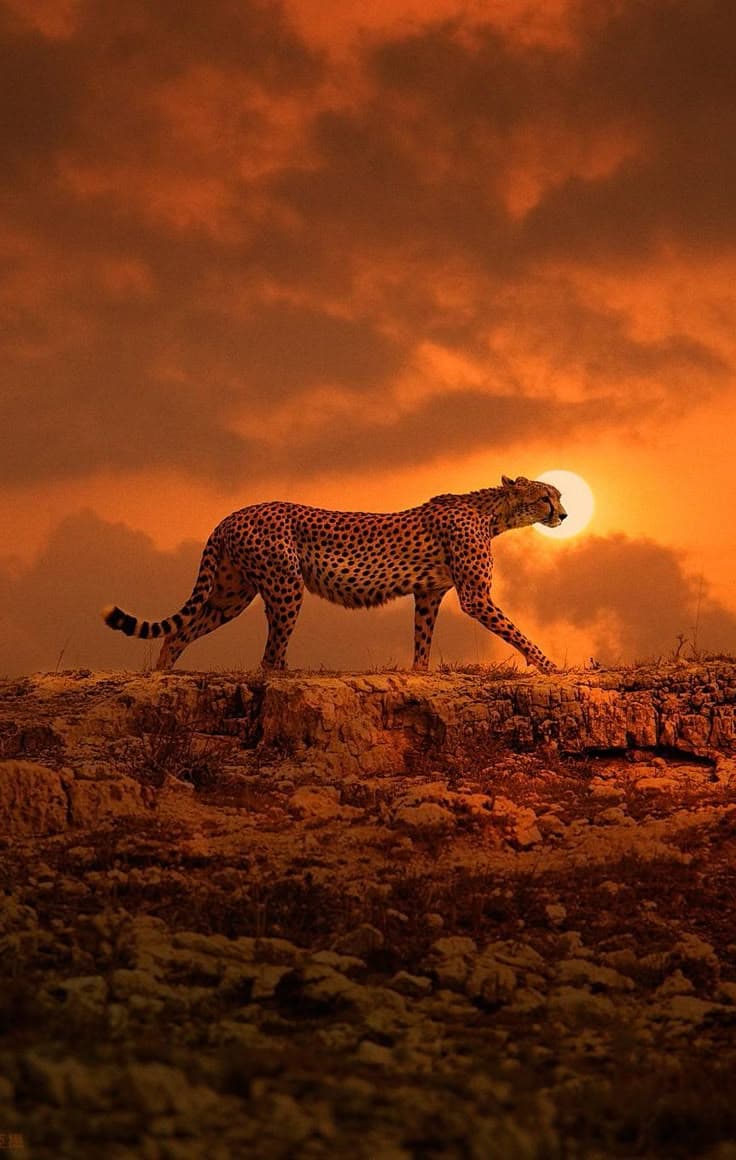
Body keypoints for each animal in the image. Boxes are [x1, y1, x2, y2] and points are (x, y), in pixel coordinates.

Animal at [102, 474, 567, 673]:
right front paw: (547, 664)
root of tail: (232, 514)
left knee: (180, 632)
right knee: (268, 656)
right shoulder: (475, 597)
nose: (563, 514)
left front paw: (419, 673)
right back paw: (284, 674)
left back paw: (160, 676)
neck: (494, 513)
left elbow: (423, 637)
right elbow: (515, 631)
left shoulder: (429, 594)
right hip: (285, 585)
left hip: (231, 595)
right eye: (546, 497)